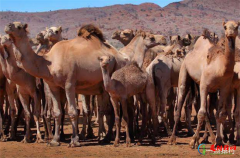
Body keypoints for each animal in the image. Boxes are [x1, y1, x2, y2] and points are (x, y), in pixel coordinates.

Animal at [169, 20, 240, 148]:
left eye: (237, 26)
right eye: (225, 27)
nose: (230, 33)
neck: (220, 68)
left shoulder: (224, 88)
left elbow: (219, 113)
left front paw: (219, 140)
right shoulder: (204, 86)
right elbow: (201, 113)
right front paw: (193, 140)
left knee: (206, 109)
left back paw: (210, 138)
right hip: (184, 73)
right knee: (180, 105)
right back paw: (173, 138)